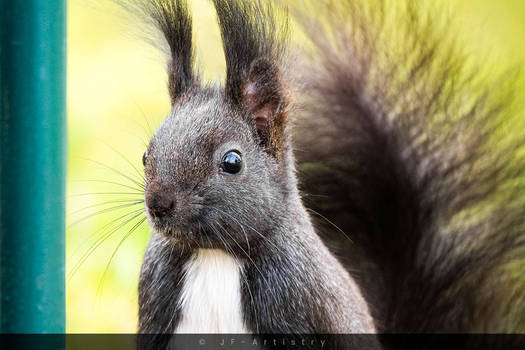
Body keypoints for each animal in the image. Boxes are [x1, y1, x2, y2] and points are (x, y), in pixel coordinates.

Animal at [118, 0, 524, 350]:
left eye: (232, 162)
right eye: (145, 155)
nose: (159, 204)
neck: (215, 255)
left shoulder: (301, 295)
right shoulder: (154, 291)